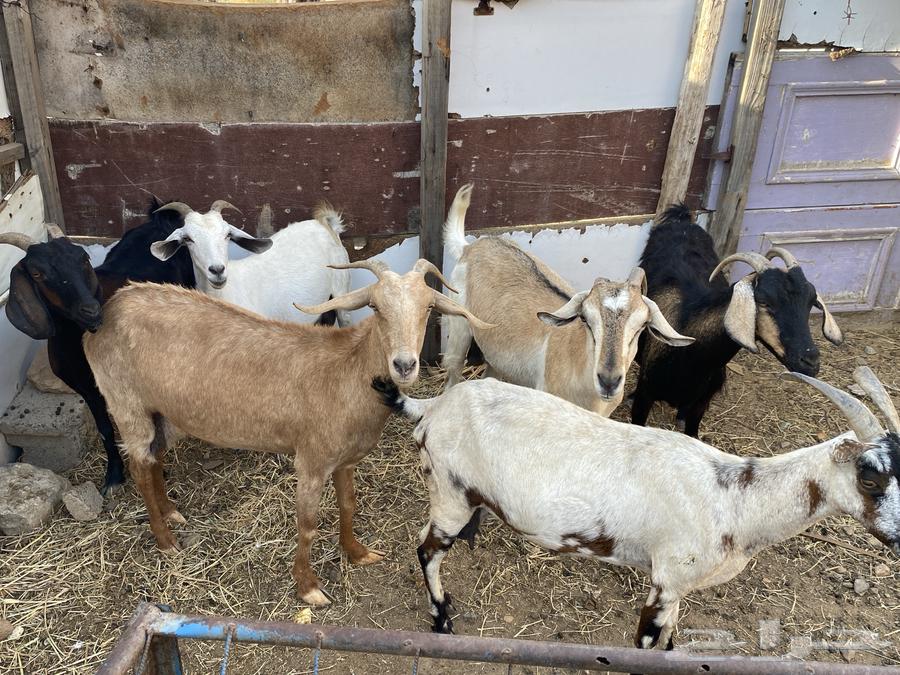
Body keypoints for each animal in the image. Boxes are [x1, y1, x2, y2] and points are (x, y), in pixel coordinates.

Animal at [1, 201, 193, 491]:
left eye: (83, 258)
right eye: (37, 272)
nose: (91, 310)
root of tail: (158, 220)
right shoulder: (86, 388)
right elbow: (105, 429)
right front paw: (113, 475)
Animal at [82, 259, 493, 606]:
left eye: (428, 308)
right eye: (376, 307)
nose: (404, 365)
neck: (346, 372)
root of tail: (113, 306)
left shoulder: (345, 458)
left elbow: (348, 504)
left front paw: (358, 553)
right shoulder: (311, 460)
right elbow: (307, 524)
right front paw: (308, 588)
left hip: (164, 413)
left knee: (154, 457)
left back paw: (171, 513)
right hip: (126, 403)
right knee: (138, 466)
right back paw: (165, 540)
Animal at [374, 367, 899, 648]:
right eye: (870, 476)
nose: (897, 536)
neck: (735, 497)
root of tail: (433, 407)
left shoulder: (682, 585)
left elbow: (671, 638)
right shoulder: (666, 579)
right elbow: (647, 642)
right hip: (448, 490)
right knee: (426, 550)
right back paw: (442, 619)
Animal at [442, 185, 694, 416]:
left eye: (642, 326)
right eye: (586, 320)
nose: (608, 381)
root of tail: (470, 247)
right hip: (459, 327)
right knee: (453, 370)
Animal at [631, 204, 843, 436]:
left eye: (811, 302)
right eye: (764, 301)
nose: (811, 362)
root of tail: (683, 220)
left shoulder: (701, 404)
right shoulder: (645, 395)